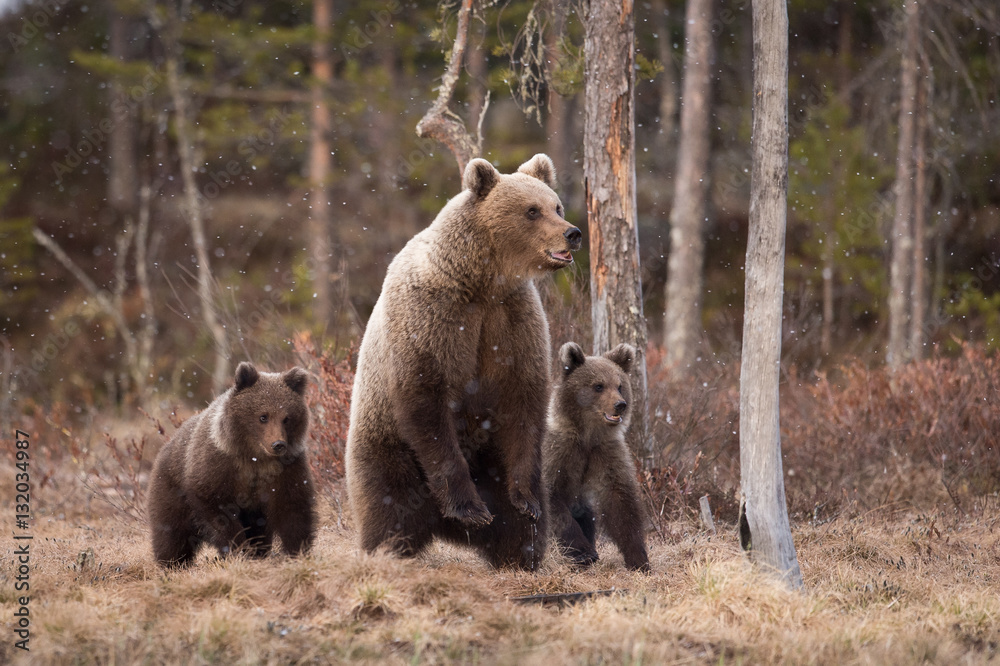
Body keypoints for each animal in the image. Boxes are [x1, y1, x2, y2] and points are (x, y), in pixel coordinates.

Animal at [145, 364, 314, 564]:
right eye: (263, 416)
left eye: (286, 418)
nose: (278, 444)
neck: (255, 457)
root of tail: (166, 446)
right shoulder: (218, 466)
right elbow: (218, 511)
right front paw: (238, 549)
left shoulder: (285, 469)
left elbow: (292, 506)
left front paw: (297, 550)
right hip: (171, 489)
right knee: (171, 531)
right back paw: (172, 562)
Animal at [346, 153, 584, 568]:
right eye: (532, 211)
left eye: (556, 206)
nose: (572, 233)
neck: (482, 282)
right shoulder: (433, 318)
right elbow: (427, 401)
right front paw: (468, 508)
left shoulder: (513, 322)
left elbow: (524, 402)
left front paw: (526, 502)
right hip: (385, 445)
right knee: (388, 507)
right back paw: (393, 548)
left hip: (490, 459)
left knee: (517, 528)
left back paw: (516, 553)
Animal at [548, 342, 648, 572]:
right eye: (598, 386)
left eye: (619, 385)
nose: (620, 404)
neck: (587, 435)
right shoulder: (560, 452)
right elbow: (553, 501)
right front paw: (584, 553)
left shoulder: (604, 453)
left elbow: (620, 503)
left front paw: (639, 559)